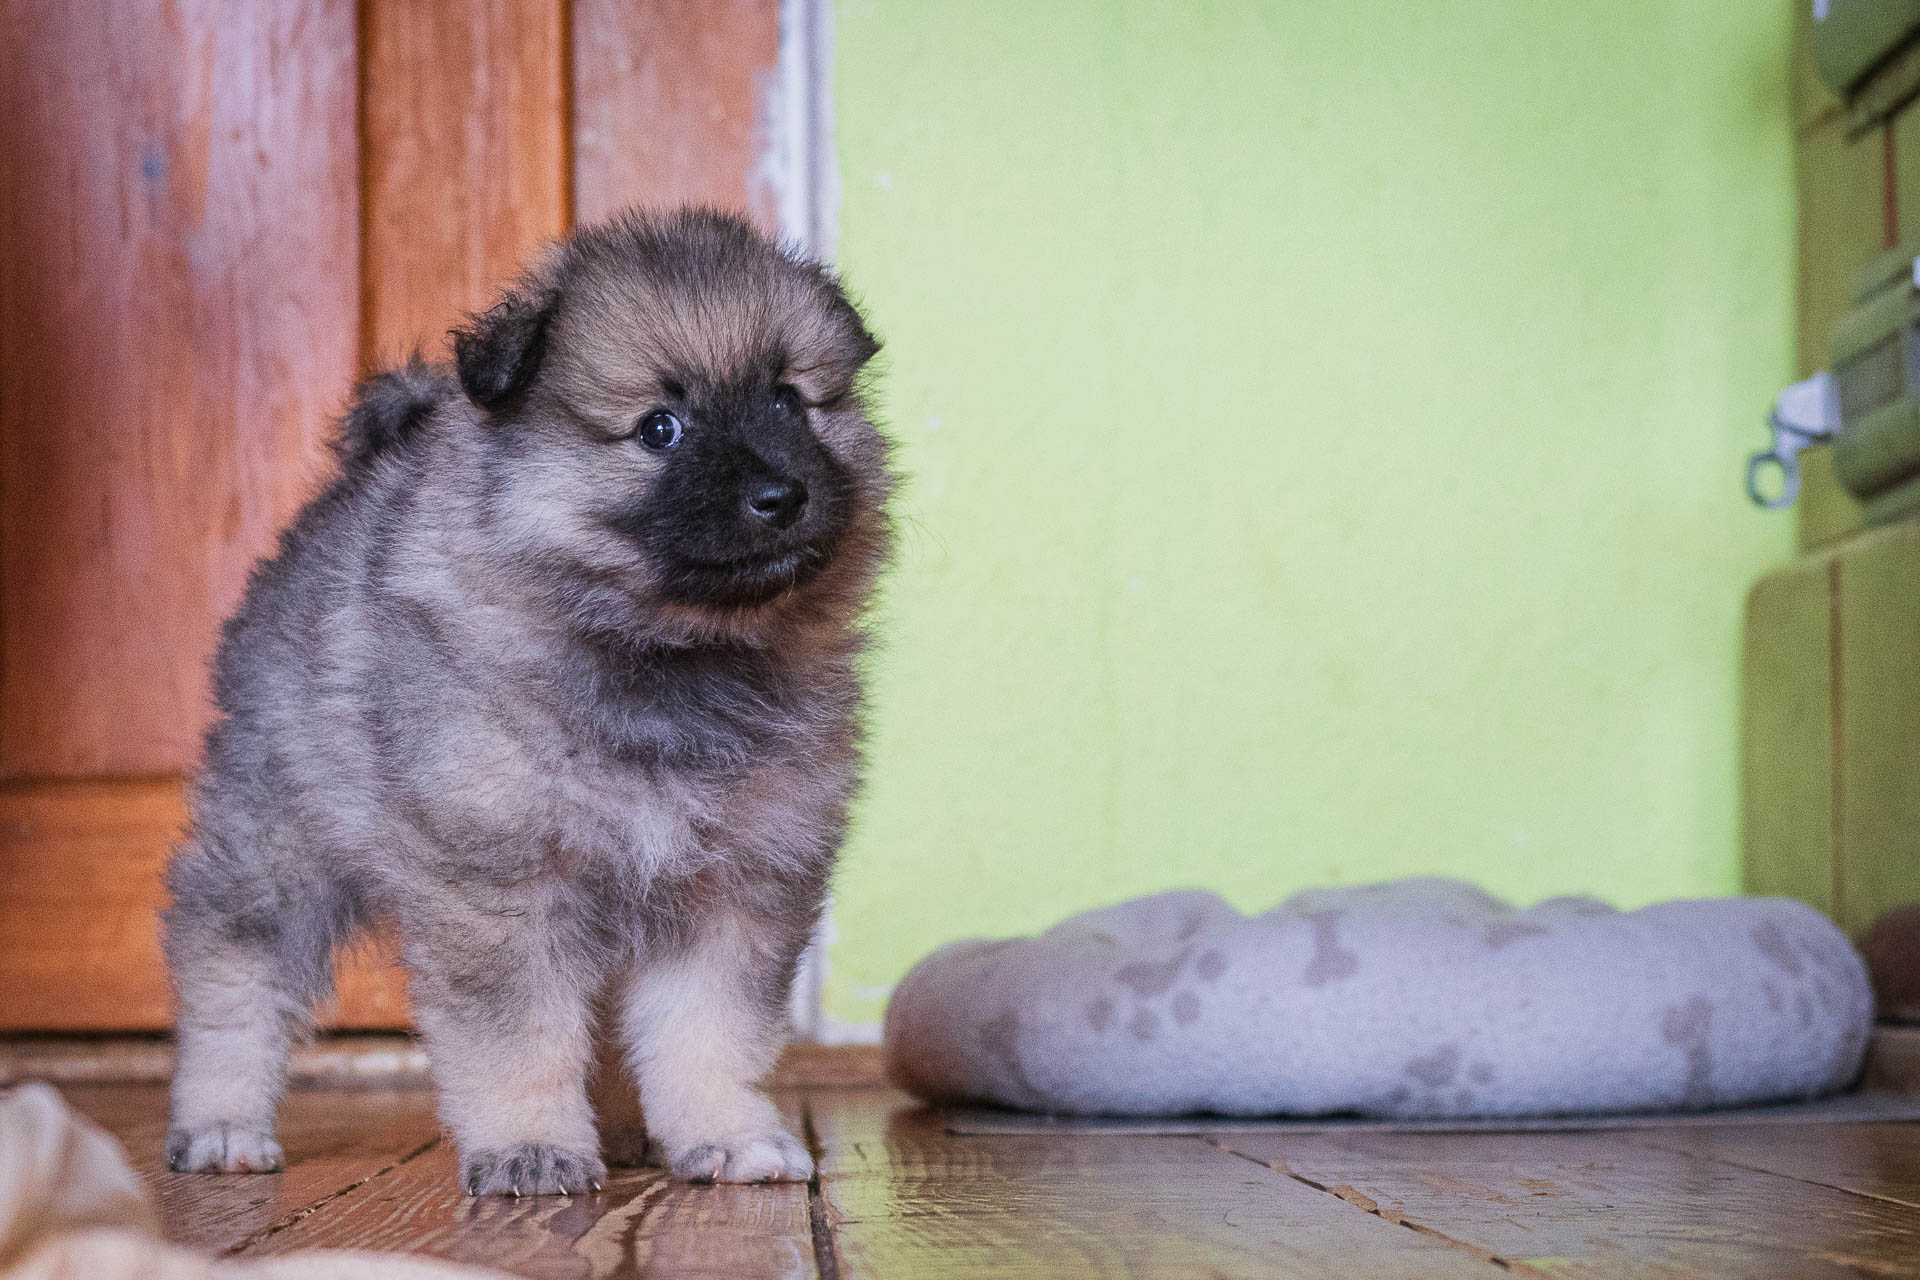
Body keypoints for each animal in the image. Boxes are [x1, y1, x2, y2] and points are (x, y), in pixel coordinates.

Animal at [159, 205, 890, 1197]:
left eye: (789, 401)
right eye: (660, 428)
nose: (784, 494)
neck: (663, 654)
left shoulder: (734, 883)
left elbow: (708, 1032)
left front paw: (725, 1133)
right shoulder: (502, 879)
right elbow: (519, 1038)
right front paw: (532, 1147)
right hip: (279, 839)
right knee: (232, 971)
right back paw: (223, 1122)